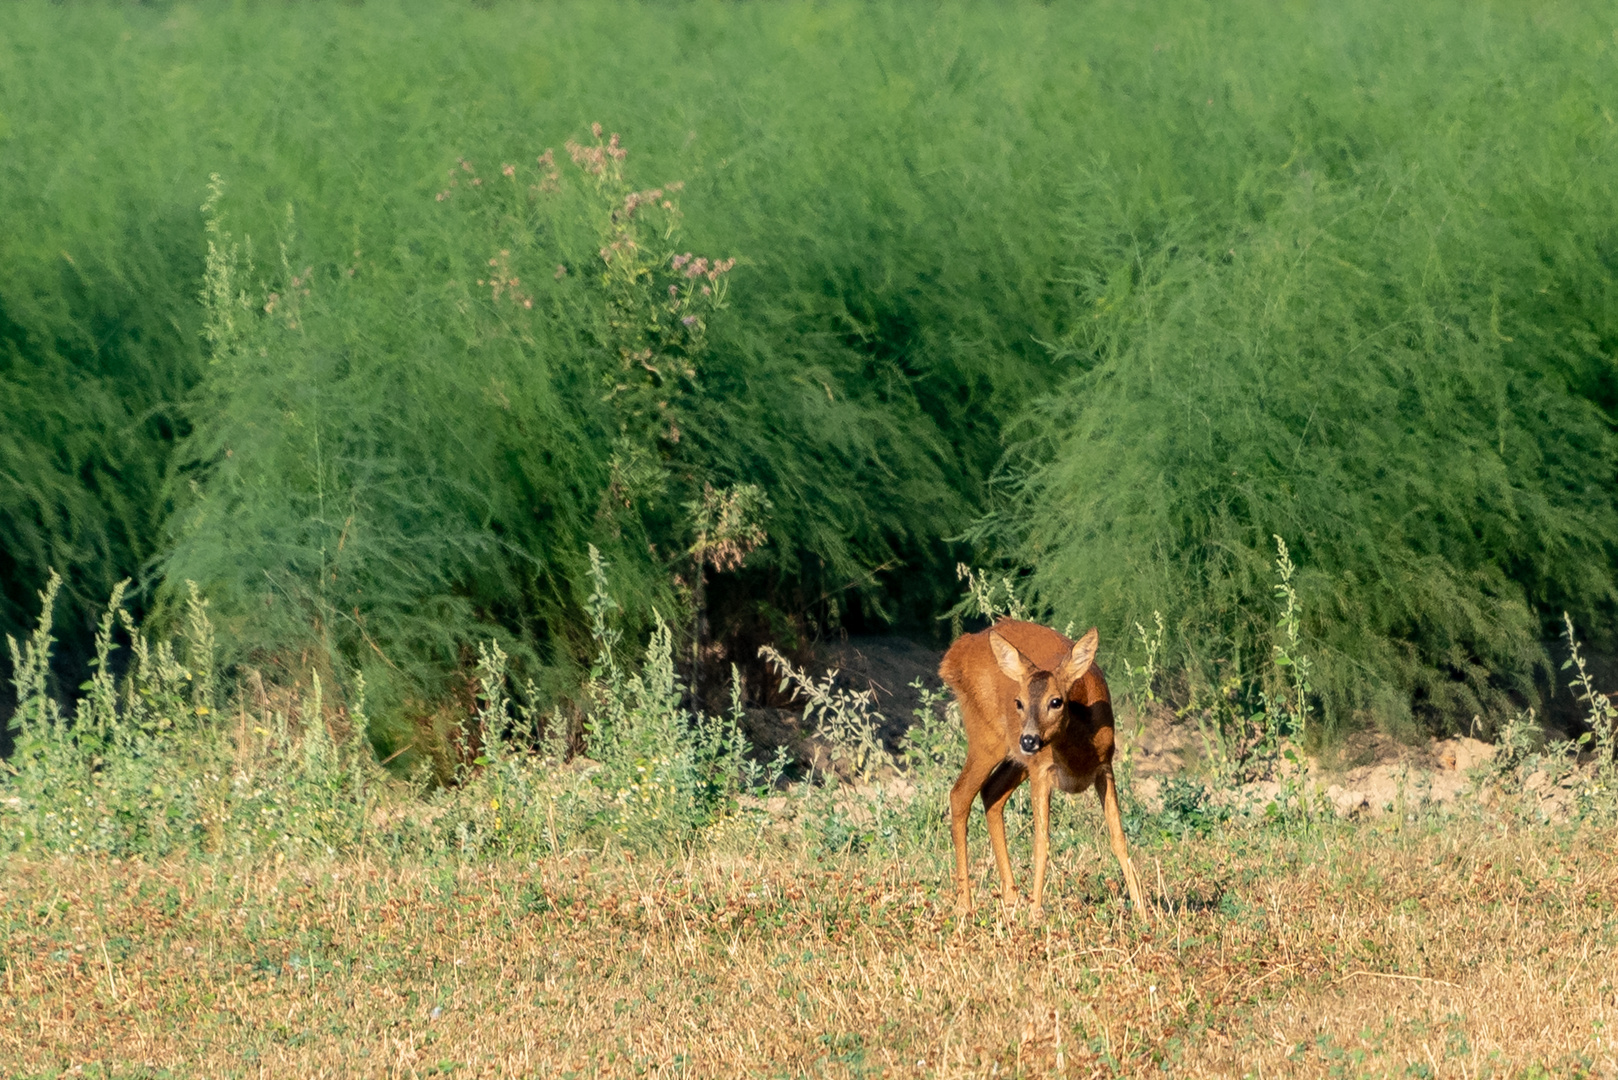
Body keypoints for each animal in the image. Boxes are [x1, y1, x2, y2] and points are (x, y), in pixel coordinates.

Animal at [938, 621, 1152, 919]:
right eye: (1018, 702)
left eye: (1055, 701)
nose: (1029, 740)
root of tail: (954, 655)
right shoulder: (1042, 769)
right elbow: (1041, 841)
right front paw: (1035, 913)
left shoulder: (1105, 766)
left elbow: (1118, 838)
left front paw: (1143, 912)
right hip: (987, 737)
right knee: (960, 794)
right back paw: (964, 905)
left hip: (1016, 758)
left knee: (991, 793)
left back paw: (1011, 898)